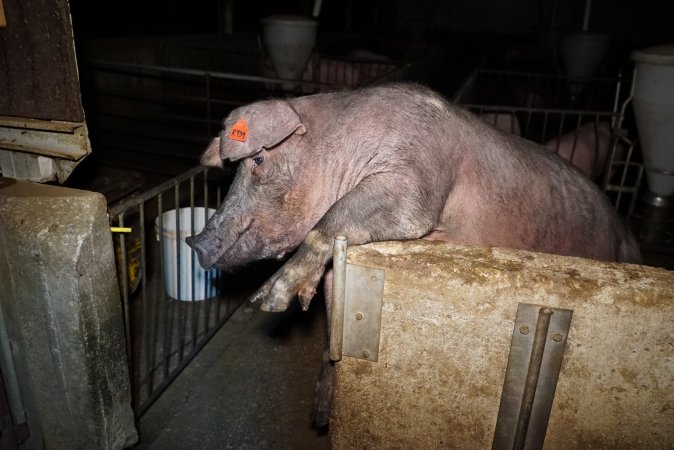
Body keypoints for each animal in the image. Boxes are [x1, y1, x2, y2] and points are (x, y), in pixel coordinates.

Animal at [186, 83, 636, 316]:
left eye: (259, 159)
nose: (194, 242)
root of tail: (626, 236)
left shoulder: (416, 177)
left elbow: (341, 216)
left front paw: (268, 302)